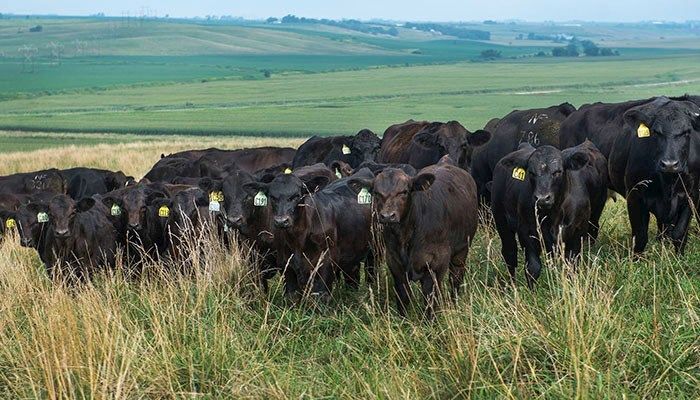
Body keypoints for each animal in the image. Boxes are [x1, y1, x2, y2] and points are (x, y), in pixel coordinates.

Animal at [348, 163, 479, 319]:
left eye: (404, 191)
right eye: (376, 193)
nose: (387, 216)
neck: (406, 236)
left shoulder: (435, 264)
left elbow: (430, 299)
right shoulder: (395, 263)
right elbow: (403, 296)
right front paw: (403, 320)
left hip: (461, 251)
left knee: (455, 279)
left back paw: (454, 304)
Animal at [490, 143, 607, 287]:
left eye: (557, 172)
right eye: (531, 172)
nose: (542, 198)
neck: (554, 214)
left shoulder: (577, 232)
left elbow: (572, 265)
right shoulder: (527, 232)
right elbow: (533, 268)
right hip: (501, 221)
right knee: (510, 254)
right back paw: (512, 286)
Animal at [559, 96, 700, 253]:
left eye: (687, 132)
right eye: (656, 132)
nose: (670, 164)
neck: (667, 183)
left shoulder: (691, 196)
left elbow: (679, 234)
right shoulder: (634, 196)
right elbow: (639, 237)